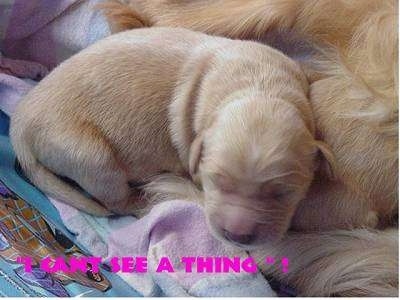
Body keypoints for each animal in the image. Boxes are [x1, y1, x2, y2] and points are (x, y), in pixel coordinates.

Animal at [10, 27, 328, 248]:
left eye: (282, 193)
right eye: (215, 181)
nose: (236, 235)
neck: (257, 86)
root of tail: (19, 125)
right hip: (92, 157)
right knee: (114, 200)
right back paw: (140, 201)